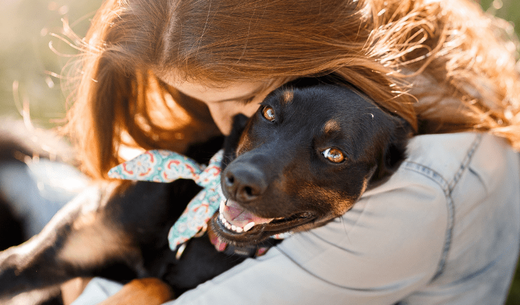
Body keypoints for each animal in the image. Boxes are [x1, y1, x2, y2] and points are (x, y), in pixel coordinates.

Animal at [0, 78, 410, 302]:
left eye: (334, 154)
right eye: (269, 112)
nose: (237, 180)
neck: (195, 232)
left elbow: (155, 284)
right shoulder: (35, 259)